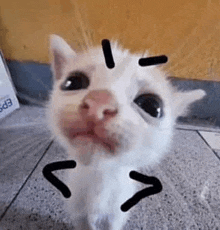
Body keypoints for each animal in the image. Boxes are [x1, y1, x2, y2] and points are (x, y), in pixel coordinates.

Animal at [46, 34, 206, 230]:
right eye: (72, 82)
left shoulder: (117, 214)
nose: (99, 102)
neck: (99, 179)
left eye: (152, 106)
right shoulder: (78, 213)